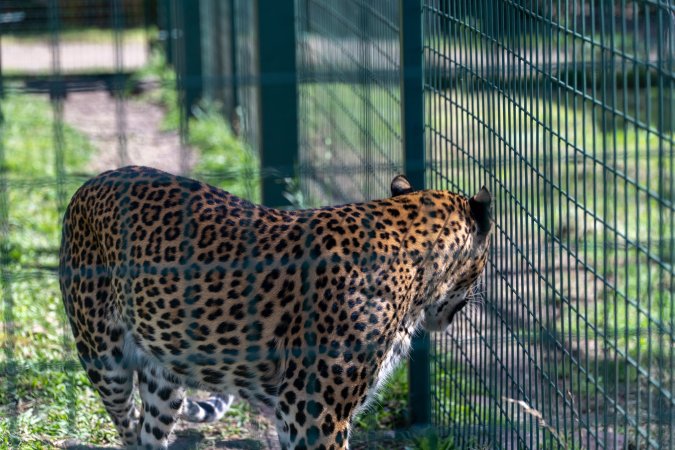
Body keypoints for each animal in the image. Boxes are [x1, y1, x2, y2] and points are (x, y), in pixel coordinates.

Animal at [59, 165, 492, 449]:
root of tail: (94, 181)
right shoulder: (314, 412)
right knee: (126, 423)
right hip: (104, 359)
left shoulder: (295, 413)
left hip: (162, 372)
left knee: (150, 430)